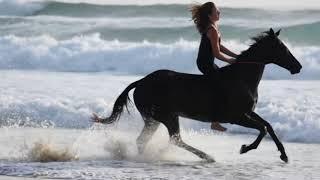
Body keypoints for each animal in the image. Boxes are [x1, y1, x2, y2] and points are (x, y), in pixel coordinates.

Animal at [92, 28, 302, 162]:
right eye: (282, 48)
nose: (298, 67)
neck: (242, 78)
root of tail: (141, 82)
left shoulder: (247, 112)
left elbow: (268, 126)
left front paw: (284, 155)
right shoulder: (236, 117)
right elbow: (263, 129)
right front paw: (245, 148)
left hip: (153, 119)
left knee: (145, 140)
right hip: (166, 116)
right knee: (175, 139)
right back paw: (207, 156)